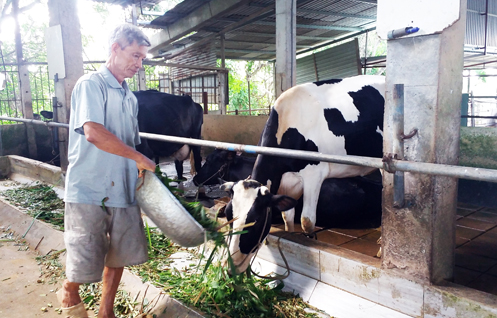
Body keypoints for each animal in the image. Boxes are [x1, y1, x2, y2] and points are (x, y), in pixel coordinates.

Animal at [221, 75, 384, 274]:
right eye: (228, 215)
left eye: (255, 221)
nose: (230, 268)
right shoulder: (288, 182)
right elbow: (288, 216)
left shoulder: (314, 174)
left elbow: (306, 220)